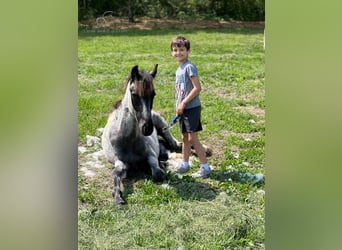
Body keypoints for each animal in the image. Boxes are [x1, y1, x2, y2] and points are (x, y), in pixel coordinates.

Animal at [101, 64, 182, 205]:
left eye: (153, 94)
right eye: (134, 94)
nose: (148, 128)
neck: (128, 139)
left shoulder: (151, 154)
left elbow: (158, 173)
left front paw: (159, 166)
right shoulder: (120, 161)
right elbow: (115, 174)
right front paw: (118, 197)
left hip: (161, 124)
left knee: (173, 144)